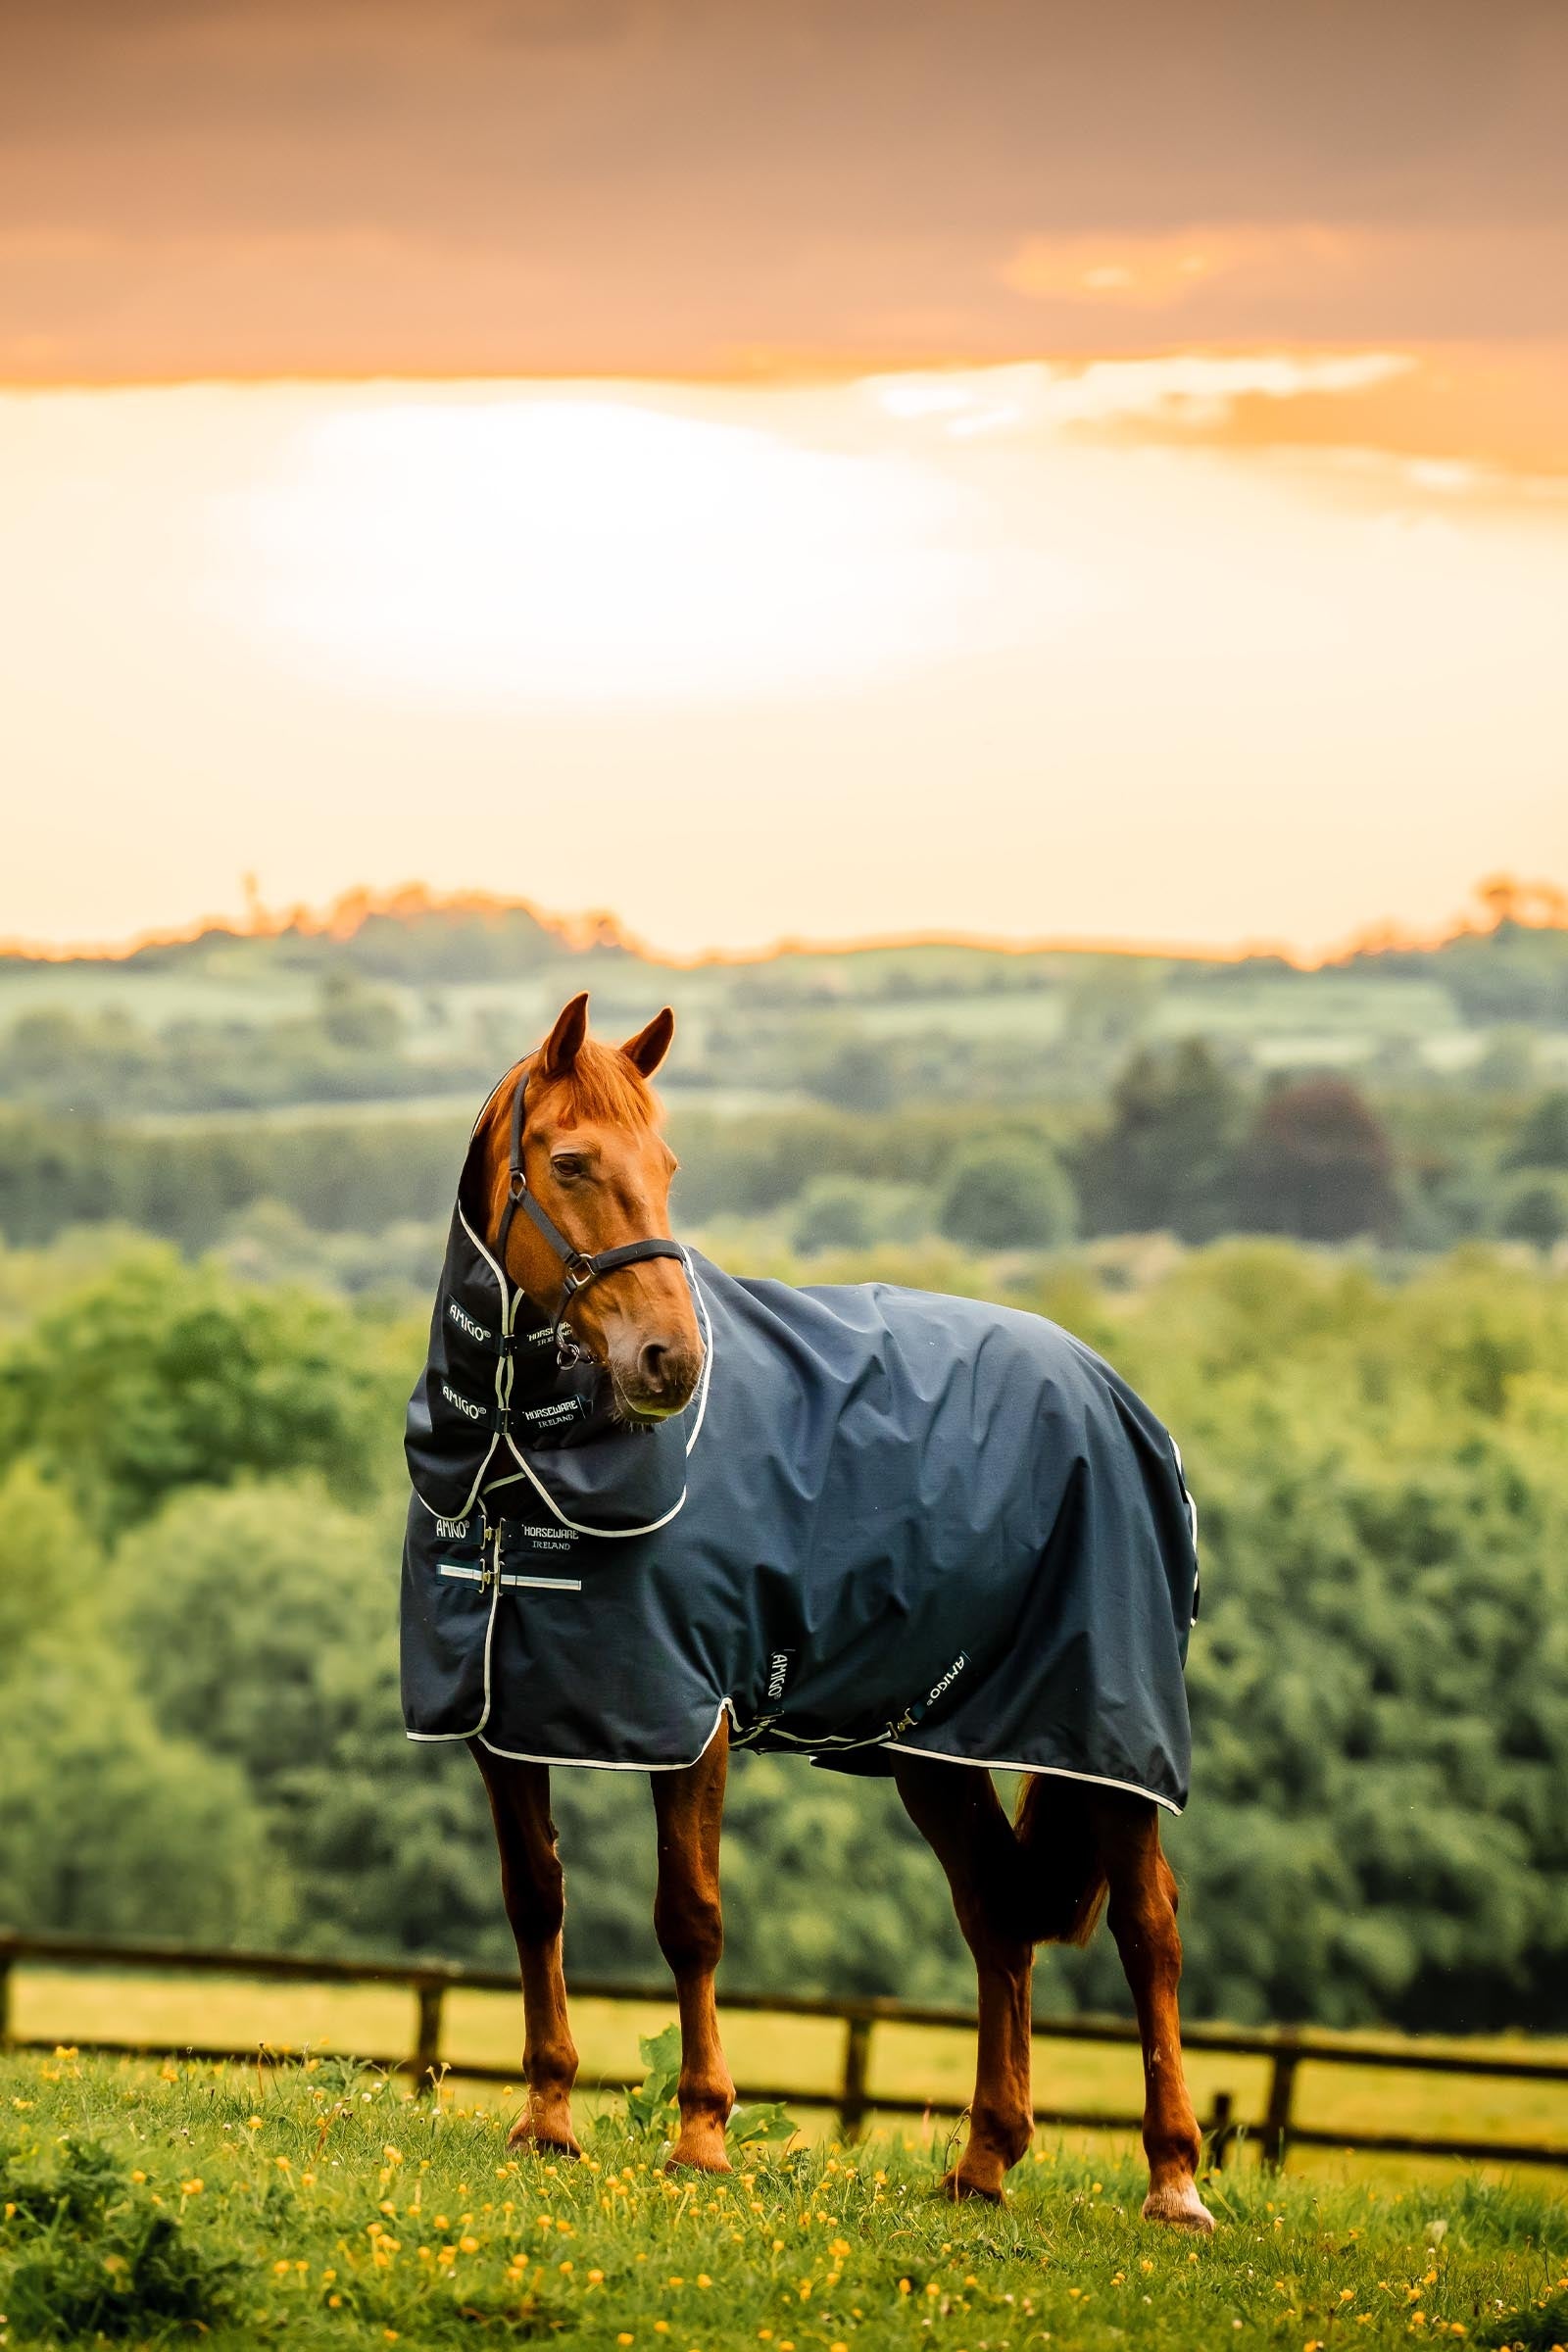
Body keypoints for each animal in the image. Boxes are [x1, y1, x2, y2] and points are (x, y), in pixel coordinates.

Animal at [403, 989, 1213, 2232]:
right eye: (573, 1161)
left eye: (667, 1166)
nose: (670, 1362)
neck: (512, 1470)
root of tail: (1119, 1398)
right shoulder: (503, 1719)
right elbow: (534, 1900)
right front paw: (546, 2119)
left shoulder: (691, 1720)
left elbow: (689, 1916)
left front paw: (700, 2135)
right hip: (938, 1746)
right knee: (996, 1916)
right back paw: (984, 2161)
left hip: (1104, 1736)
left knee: (1148, 1931)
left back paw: (1173, 2181)